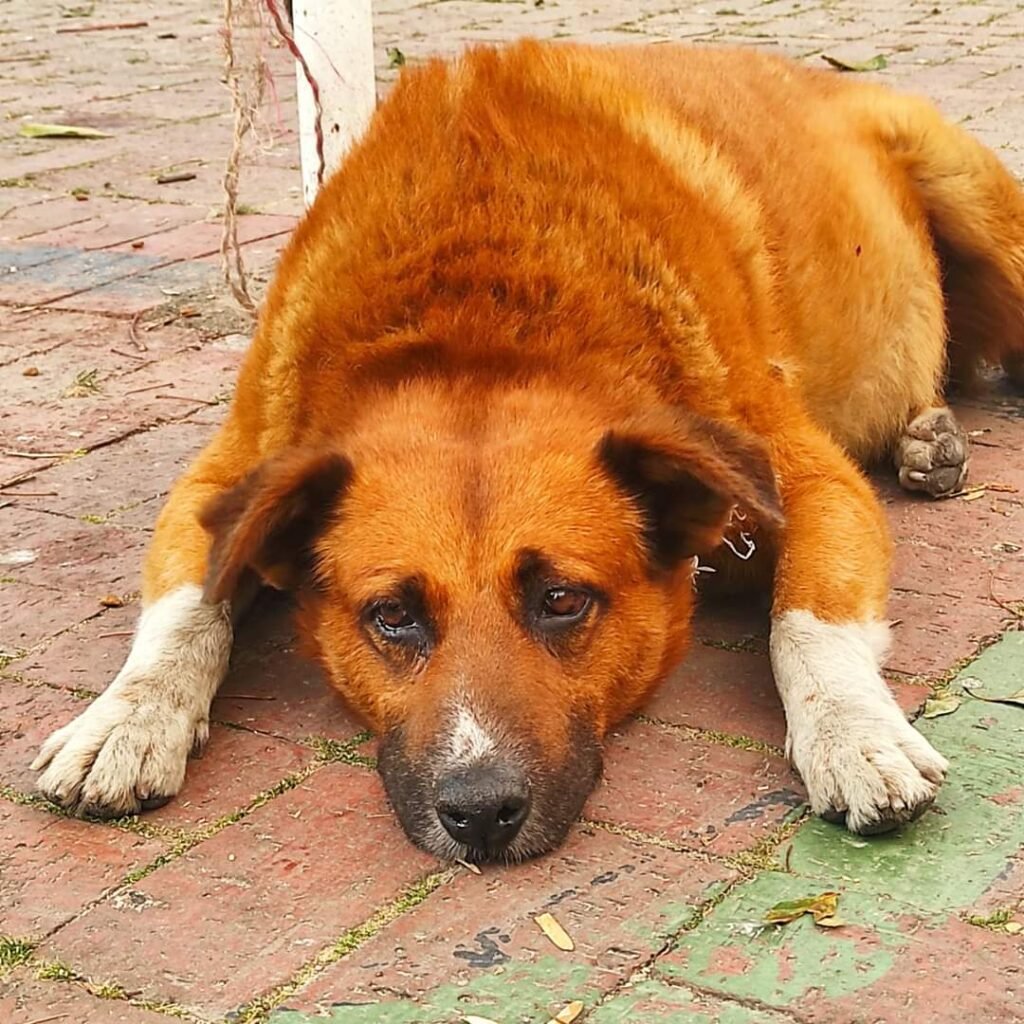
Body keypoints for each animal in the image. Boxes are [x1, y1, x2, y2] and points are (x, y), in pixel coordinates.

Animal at [32, 39, 1024, 860]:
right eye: (392, 617)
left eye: (560, 601)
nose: (479, 814)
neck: (483, 321)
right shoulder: (234, 467)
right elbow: (189, 605)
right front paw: (127, 715)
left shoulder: (808, 479)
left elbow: (807, 620)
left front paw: (853, 730)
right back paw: (929, 440)